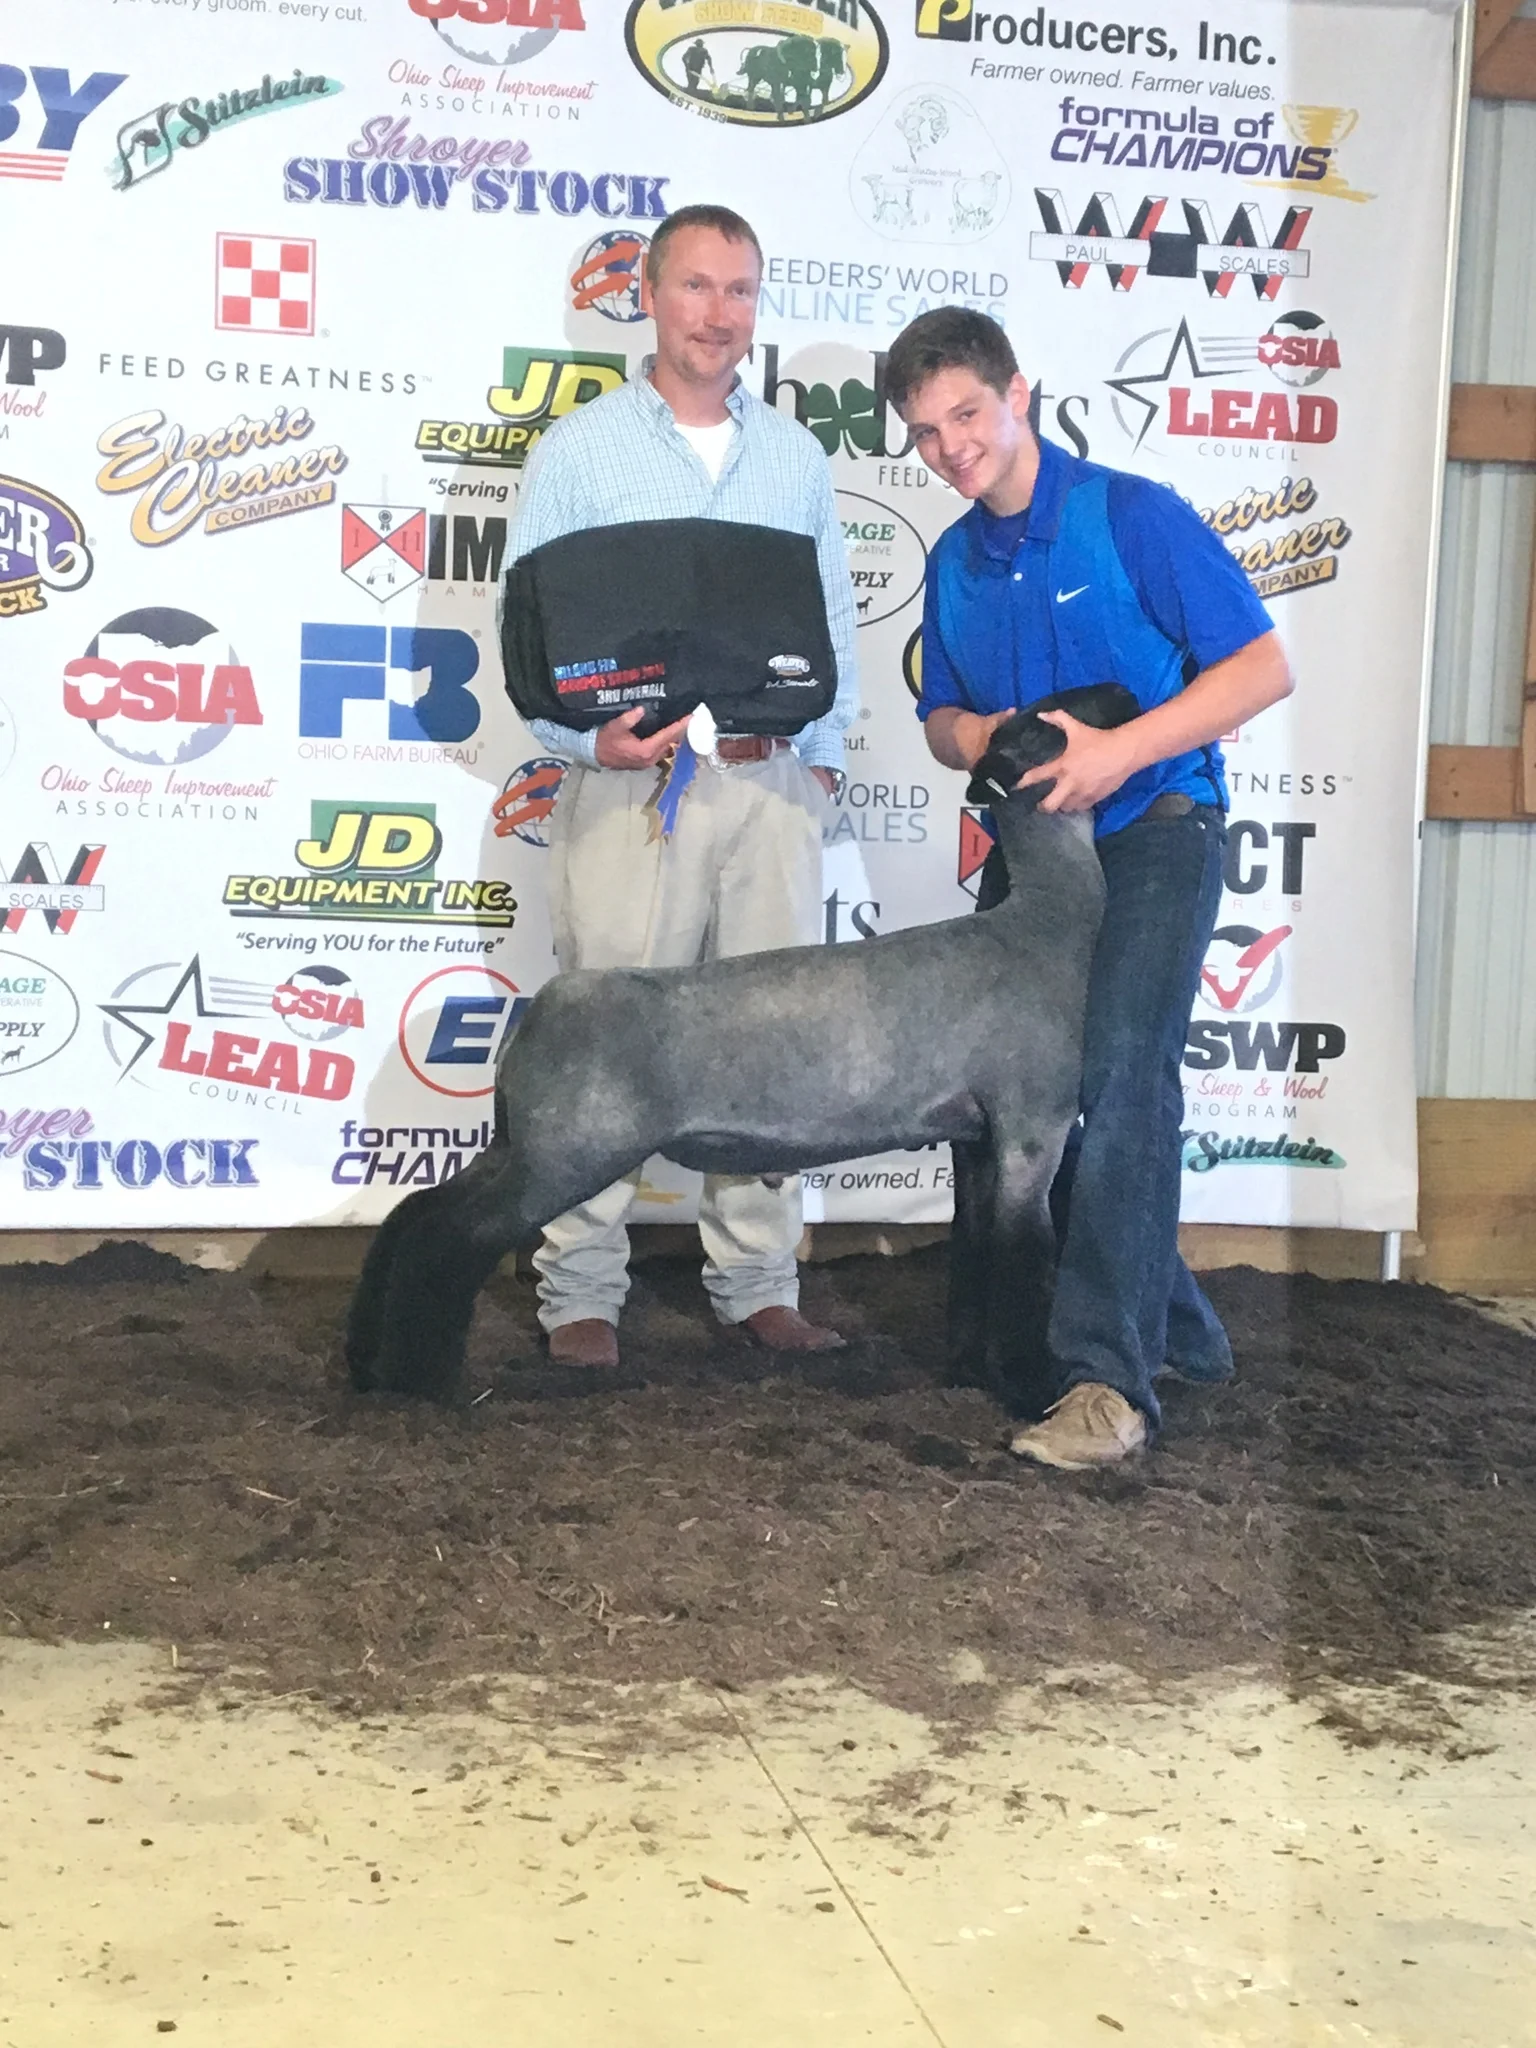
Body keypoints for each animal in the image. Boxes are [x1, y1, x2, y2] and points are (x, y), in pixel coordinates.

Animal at [346, 683, 1139, 1414]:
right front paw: (1033, 1388)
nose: (1127, 690)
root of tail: (538, 1012)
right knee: (448, 1237)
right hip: (568, 1150)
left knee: (414, 1215)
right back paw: (420, 1380)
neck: (1047, 922)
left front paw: (974, 1370)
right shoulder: (1032, 1128)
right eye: (1060, 710)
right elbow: (1024, 1258)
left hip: (523, 1143)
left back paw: (371, 1360)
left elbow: (978, 1249)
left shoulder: (976, 1140)